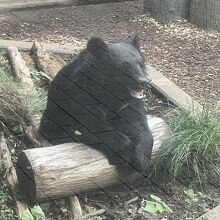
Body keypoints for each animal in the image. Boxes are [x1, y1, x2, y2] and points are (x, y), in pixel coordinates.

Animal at [38, 36, 154, 174]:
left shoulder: (129, 104)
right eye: (124, 66)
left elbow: (138, 125)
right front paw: (125, 157)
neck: (112, 93)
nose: (143, 82)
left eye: (140, 63)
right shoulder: (81, 94)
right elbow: (91, 126)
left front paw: (141, 160)